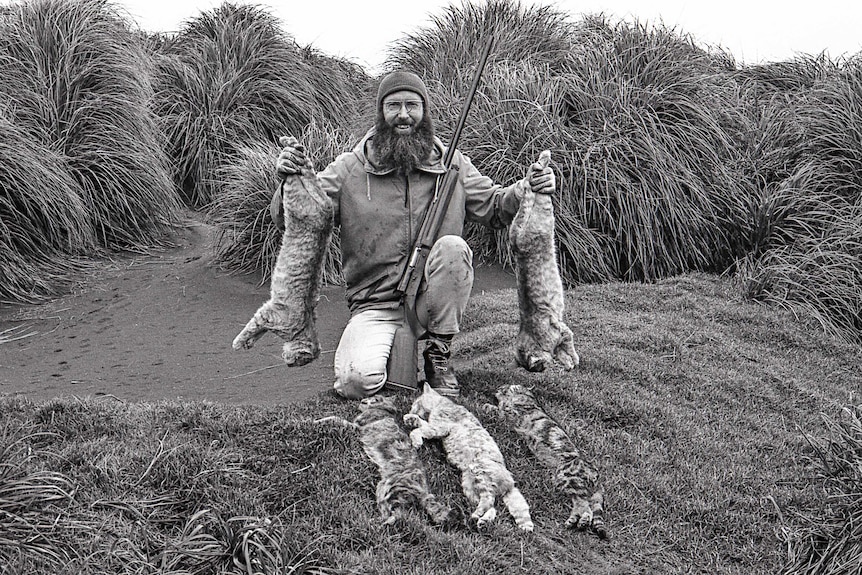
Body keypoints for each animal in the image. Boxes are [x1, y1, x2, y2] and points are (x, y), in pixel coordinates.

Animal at [233, 137, 334, 366]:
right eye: (299, 362)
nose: (289, 364)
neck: (306, 324)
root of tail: (324, 211)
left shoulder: (268, 314)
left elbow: (257, 331)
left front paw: (248, 343)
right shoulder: (268, 314)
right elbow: (251, 328)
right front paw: (240, 342)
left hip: (317, 195)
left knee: (306, 168)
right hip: (294, 198)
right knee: (295, 172)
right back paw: (288, 148)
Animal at [318, 394, 462, 528]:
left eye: (376, 399)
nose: (364, 399)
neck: (384, 409)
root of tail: (424, 491)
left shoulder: (355, 426)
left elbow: (334, 418)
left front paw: (317, 420)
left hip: (387, 489)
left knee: (392, 516)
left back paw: (367, 524)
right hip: (387, 492)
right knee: (397, 514)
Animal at [404, 384, 532, 532]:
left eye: (416, 403)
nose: (410, 409)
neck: (442, 404)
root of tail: (510, 483)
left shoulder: (439, 428)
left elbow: (419, 430)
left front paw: (415, 439)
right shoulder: (434, 427)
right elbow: (422, 423)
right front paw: (410, 418)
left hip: (480, 473)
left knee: (489, 499)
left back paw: (477, 514)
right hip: (469, 487)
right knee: (492, 508)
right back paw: (483, 521)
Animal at [492, 384, 608, 536]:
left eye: (504, 387)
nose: (497, 388)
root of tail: (597, 475)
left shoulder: (510, 415)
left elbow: (496, 410)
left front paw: (485, 406)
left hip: (568, 479)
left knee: (586, 508)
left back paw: (581, 522)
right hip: (570, 486)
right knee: (581, 505)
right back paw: (574, 521)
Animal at [510, 151, 584, 372]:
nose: (540, 369)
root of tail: (518, 243)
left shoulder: (561, 331)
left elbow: (568, 342)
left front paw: (571, 360)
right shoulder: (559, 330)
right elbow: (562, 348)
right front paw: (566, 361)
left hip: (540, 218)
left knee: (532, 185)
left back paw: (544, 158)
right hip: (529, 221)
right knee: (530, 184)